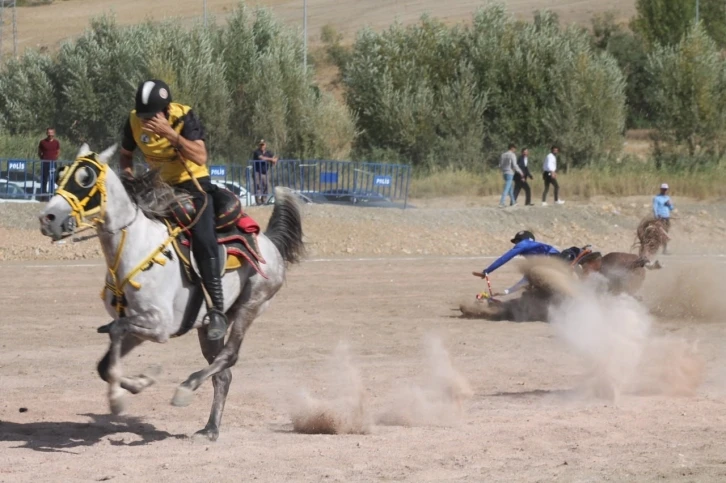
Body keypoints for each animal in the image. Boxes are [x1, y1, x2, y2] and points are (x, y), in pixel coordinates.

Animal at [38, 142, 306, 440]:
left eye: (86, 178)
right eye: (61, 175)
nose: (48, 218)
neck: (135, 247)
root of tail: (268, 240)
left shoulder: (160, 326)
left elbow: (116, 332)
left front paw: (126, 392)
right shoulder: (138, 327)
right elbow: (105, 363)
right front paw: (136, 385)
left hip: (251, 305)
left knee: (230, 356)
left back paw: (186, 388)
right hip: (208, 327)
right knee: (223, 373)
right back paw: (210, 428)